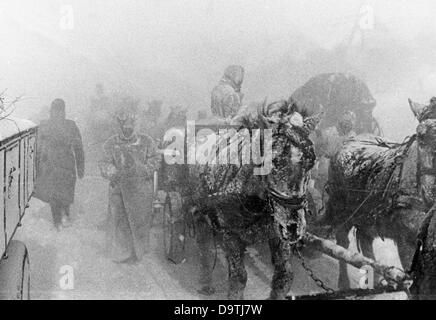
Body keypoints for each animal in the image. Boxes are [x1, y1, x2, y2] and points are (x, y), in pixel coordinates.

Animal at [326, 99, 436, 298]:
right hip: (341, 212)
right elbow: (411, 285)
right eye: (421, 137)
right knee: (342, 243)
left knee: (365, 240)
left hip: (366, 216)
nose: (430, 193)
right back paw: (344, 284)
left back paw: (376, 281)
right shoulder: (405, 241)